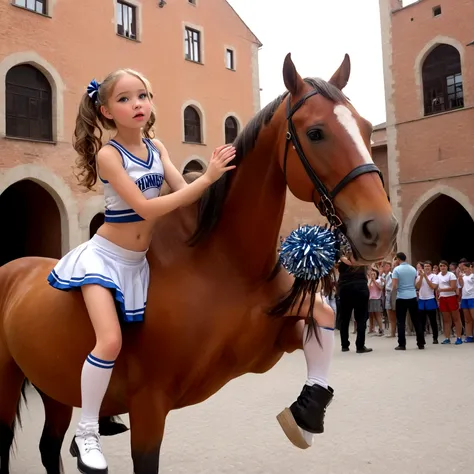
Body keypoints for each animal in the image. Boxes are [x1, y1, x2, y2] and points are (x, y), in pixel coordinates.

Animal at [0, 52, 396, 474]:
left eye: (366, 128)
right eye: (317, 133)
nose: (381, 228)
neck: (223, 262)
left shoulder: (271, 342)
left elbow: (321, 320)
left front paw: (306, 413)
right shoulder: (149, 404)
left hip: (53, 385)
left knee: (48, 447)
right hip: (8, 380)